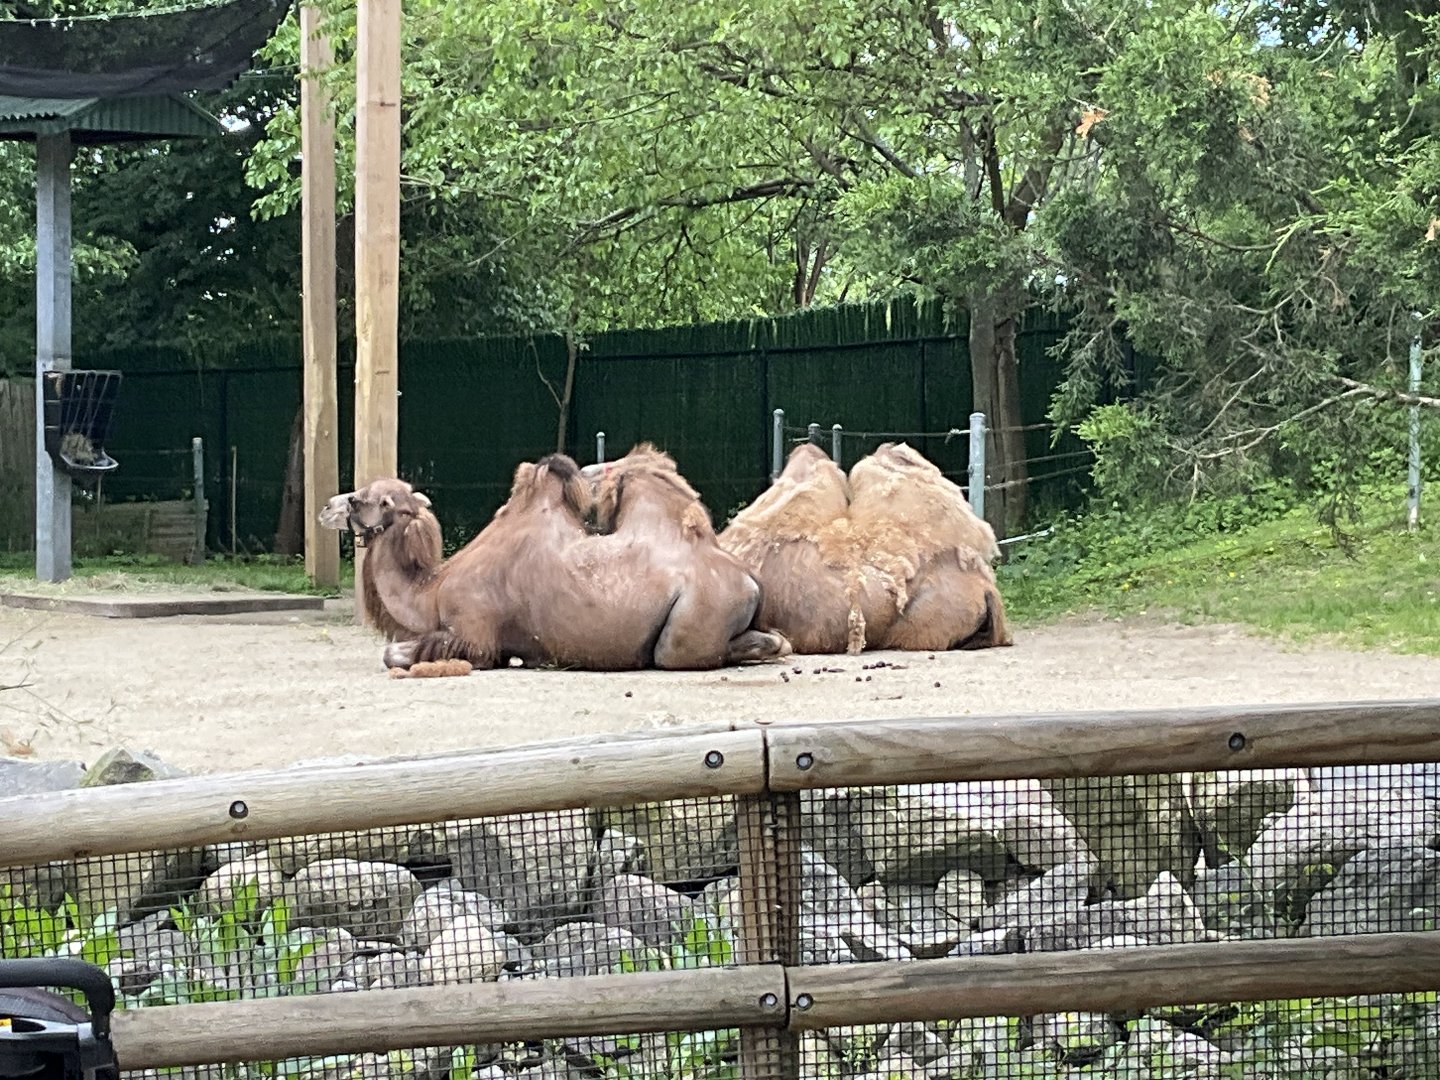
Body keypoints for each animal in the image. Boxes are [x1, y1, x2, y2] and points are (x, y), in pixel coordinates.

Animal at [320, 452, 790, 673]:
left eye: (360, 499)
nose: (326, 507)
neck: (431, 591)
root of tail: (750, 578)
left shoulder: (473, 632)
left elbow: (395, 654)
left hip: (690, 625)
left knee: (678, 653)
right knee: (775, 639)